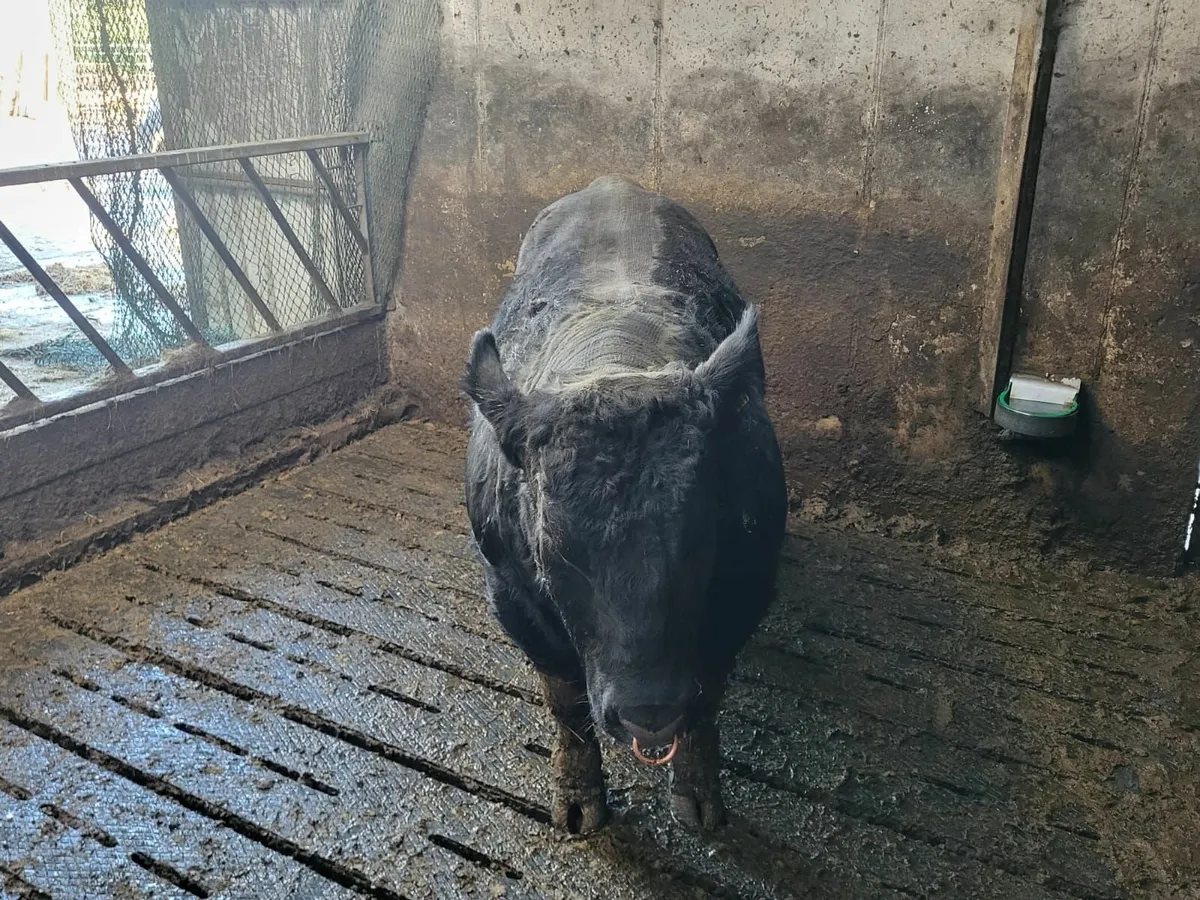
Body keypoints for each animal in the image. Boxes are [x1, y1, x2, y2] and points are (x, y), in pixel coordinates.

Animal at [462, 175, 787, 834]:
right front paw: (578, 802)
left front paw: (698, 799)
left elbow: (707, 697)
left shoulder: (747, 586)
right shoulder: (509, 591)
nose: (647, 711)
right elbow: (565, 704)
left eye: (702, 538)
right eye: (555, 551)